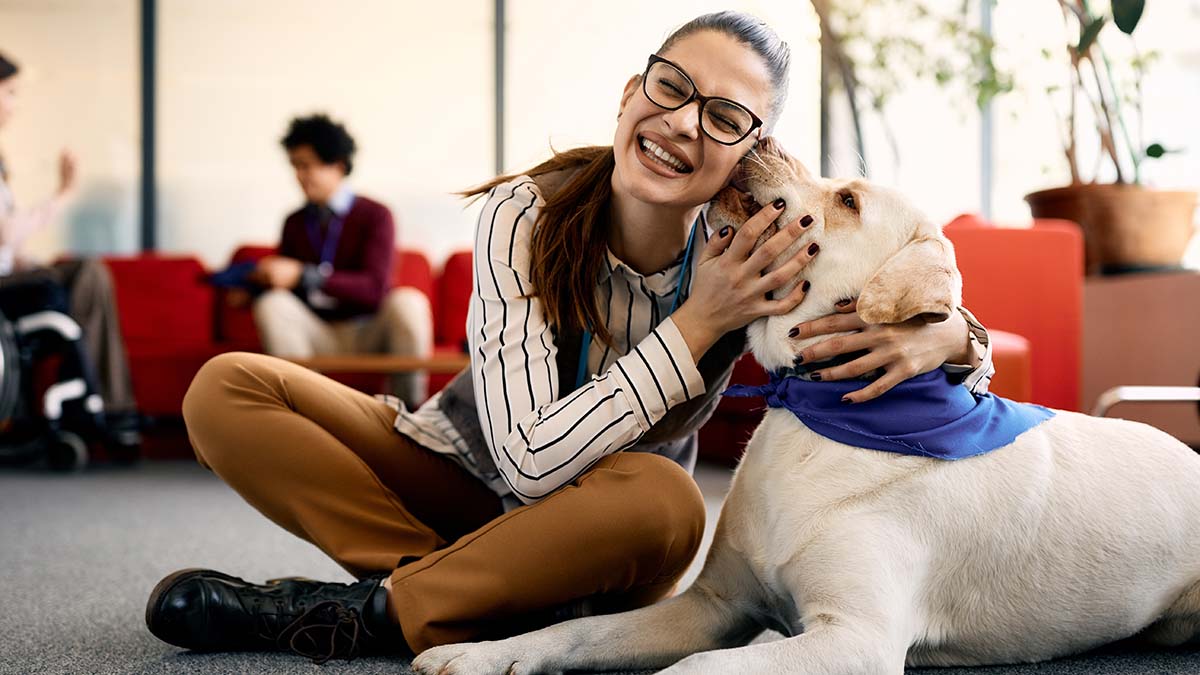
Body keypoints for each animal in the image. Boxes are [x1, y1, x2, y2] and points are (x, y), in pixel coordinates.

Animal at [410, 139, 1200, 667]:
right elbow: (580, 630)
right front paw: (482, 652)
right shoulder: (714, 604)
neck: (817, 410)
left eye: (849, 199)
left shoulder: (853, 637)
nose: (760, 137)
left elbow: (699, 668)